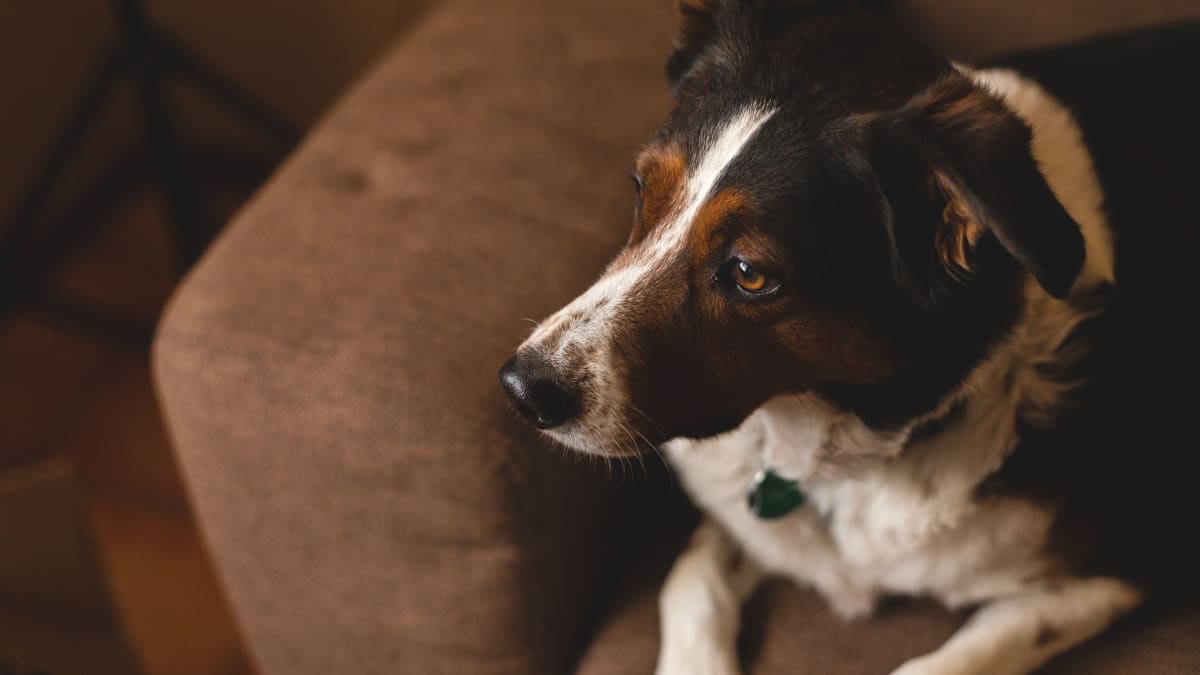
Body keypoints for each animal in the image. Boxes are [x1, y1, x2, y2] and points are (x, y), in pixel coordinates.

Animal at [499, 2, 1200, 667]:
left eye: (750, 274)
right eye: (643, 191)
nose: (521, 390)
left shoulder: (1117, 572)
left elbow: (944, 663)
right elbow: (690, 582)